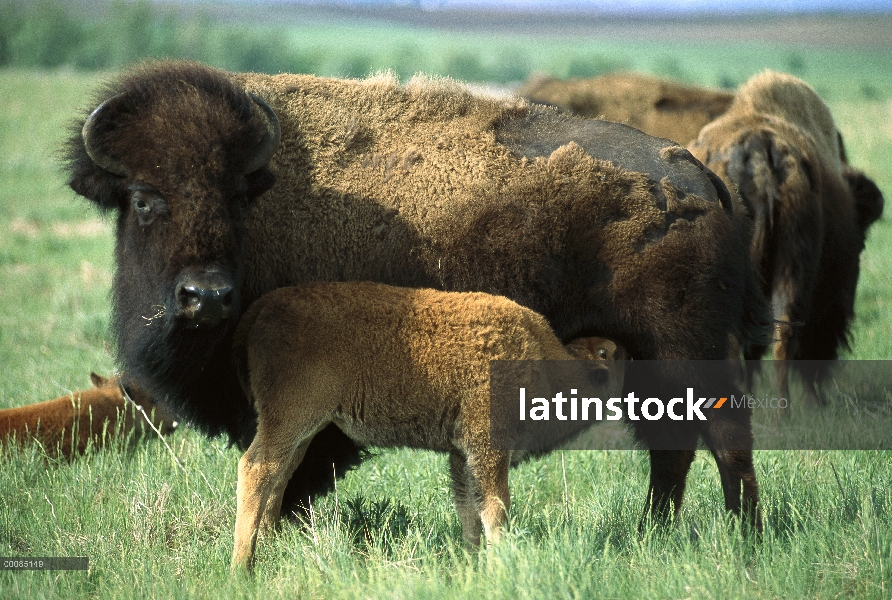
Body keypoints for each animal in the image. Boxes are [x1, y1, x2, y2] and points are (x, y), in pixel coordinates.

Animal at [66, 63, 772, 536]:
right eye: (143, 198)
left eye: (237, 195)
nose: (206, 297)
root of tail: (696, 175)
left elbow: (294, 470)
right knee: (672, 446)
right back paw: (656, 534)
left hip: (685, 349)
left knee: (720, 439)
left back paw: (743, 537)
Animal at [228, 282, 628, 572]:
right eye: (609, 355)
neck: (544, 359)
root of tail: (265, 306)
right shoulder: (487, 447)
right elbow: (494, 508)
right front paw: (502, 561)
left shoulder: (462, 454)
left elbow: (469, 508)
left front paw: (471, 562)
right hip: (291, 417)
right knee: (256, 469)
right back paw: (242, 568)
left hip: (302, 429)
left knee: (280, 475)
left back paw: (272, 546)